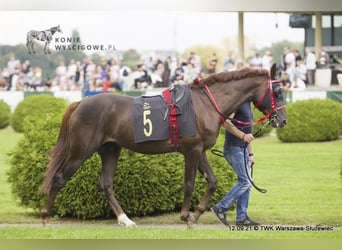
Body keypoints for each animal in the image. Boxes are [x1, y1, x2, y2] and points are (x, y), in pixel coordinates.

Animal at [39, 63, 286, 228]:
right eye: (278, 91)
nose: (282, 121)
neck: (205, 104)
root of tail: (80, 102)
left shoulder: (201, 150)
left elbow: (212, 181)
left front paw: (196, 214)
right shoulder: (191, 150)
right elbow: (189, 184)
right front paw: (186, 216)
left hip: (110, 149)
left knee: (106, 183)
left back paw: (125, 220)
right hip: (80, 150)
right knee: (59, 178)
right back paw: (45, 215)